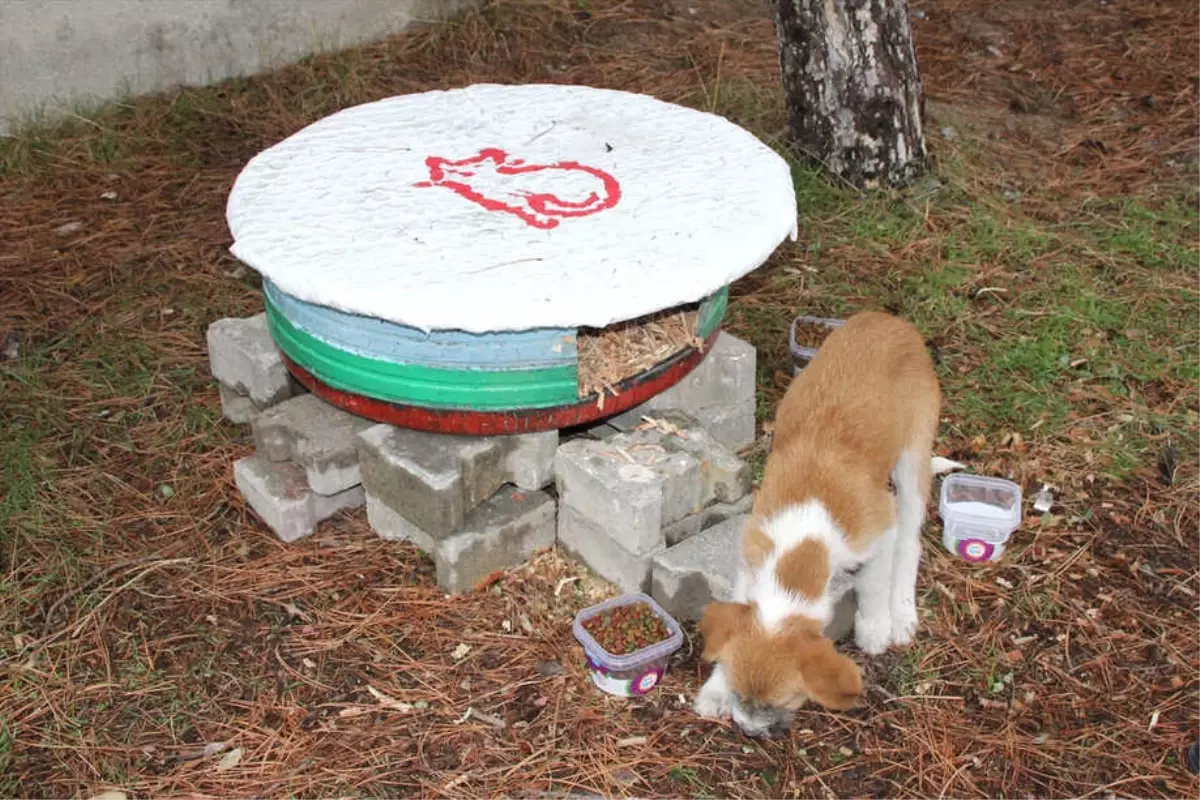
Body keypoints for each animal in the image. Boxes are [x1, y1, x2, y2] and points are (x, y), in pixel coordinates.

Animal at [691, 309, 960, 734]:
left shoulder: (879, 531)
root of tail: (888, 319)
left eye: (779, 703)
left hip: (913, 458)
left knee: (911, 543)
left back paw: (902, 614)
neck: (805, 536)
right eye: (739, 695)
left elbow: (874, 582)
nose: (747, 730)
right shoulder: (750, 555)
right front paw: (715, 689)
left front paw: (874, 627)